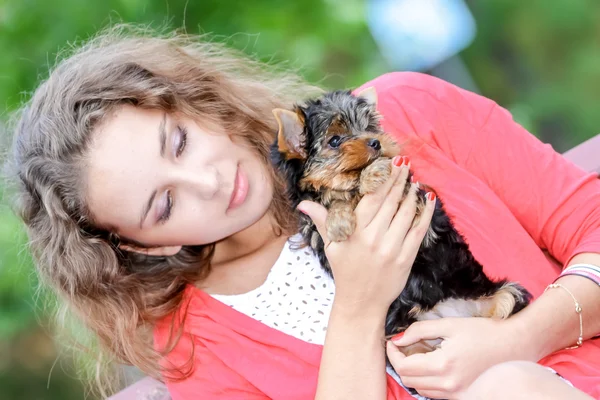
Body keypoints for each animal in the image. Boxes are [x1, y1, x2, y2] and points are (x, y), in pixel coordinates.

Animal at [270, 87, 528, 356]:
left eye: (370, 128)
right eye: (335, 140)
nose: (376, 142)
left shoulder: (416, 201)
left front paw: (374, 173)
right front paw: (339, 219)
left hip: (502, 293)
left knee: (505, 300)